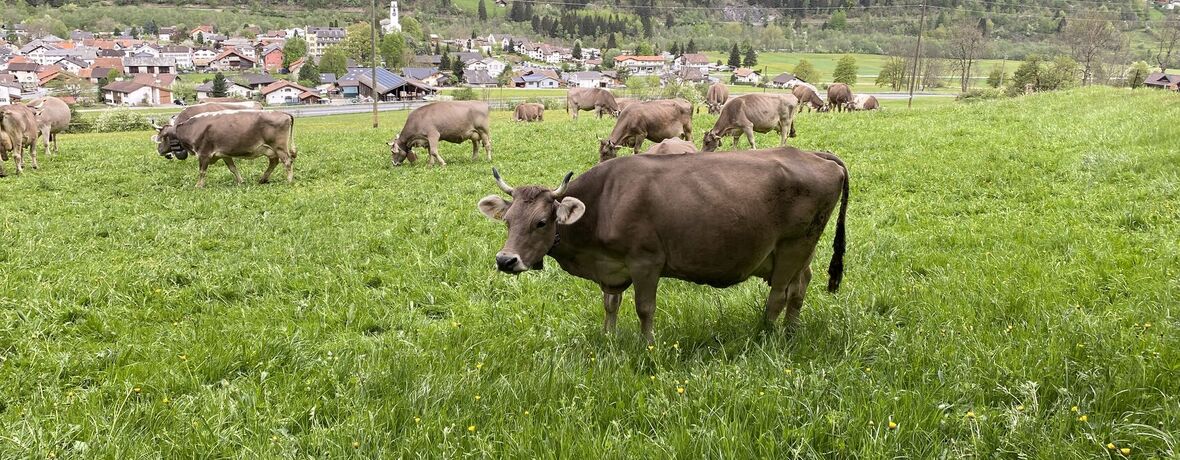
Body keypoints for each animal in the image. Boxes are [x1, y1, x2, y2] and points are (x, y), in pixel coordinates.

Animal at [152, 110, 297, 187]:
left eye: (162, 137)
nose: (159, 150)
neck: (192, 128)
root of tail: (283, 113)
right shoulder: (224, 154)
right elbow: (233, 168)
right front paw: (240, 181)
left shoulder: (204, 154)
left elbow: (202, 171)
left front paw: (199, 185)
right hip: (270, 150)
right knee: (274, 162)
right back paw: (263, 179)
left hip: (279, 147)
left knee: (287, 161)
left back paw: (289, 181)